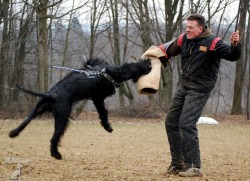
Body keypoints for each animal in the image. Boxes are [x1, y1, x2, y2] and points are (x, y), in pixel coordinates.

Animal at [8, 58, 151, 160]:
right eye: (139, 66)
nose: (148, 61)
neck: (111, 73)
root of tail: (51, 94)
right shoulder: (98, 98)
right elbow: (103, 113)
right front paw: (107, 127)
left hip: (39, 108)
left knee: (26, 121)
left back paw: (14, 133)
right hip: (63, 117)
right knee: (54, 137)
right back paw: (56, 154)